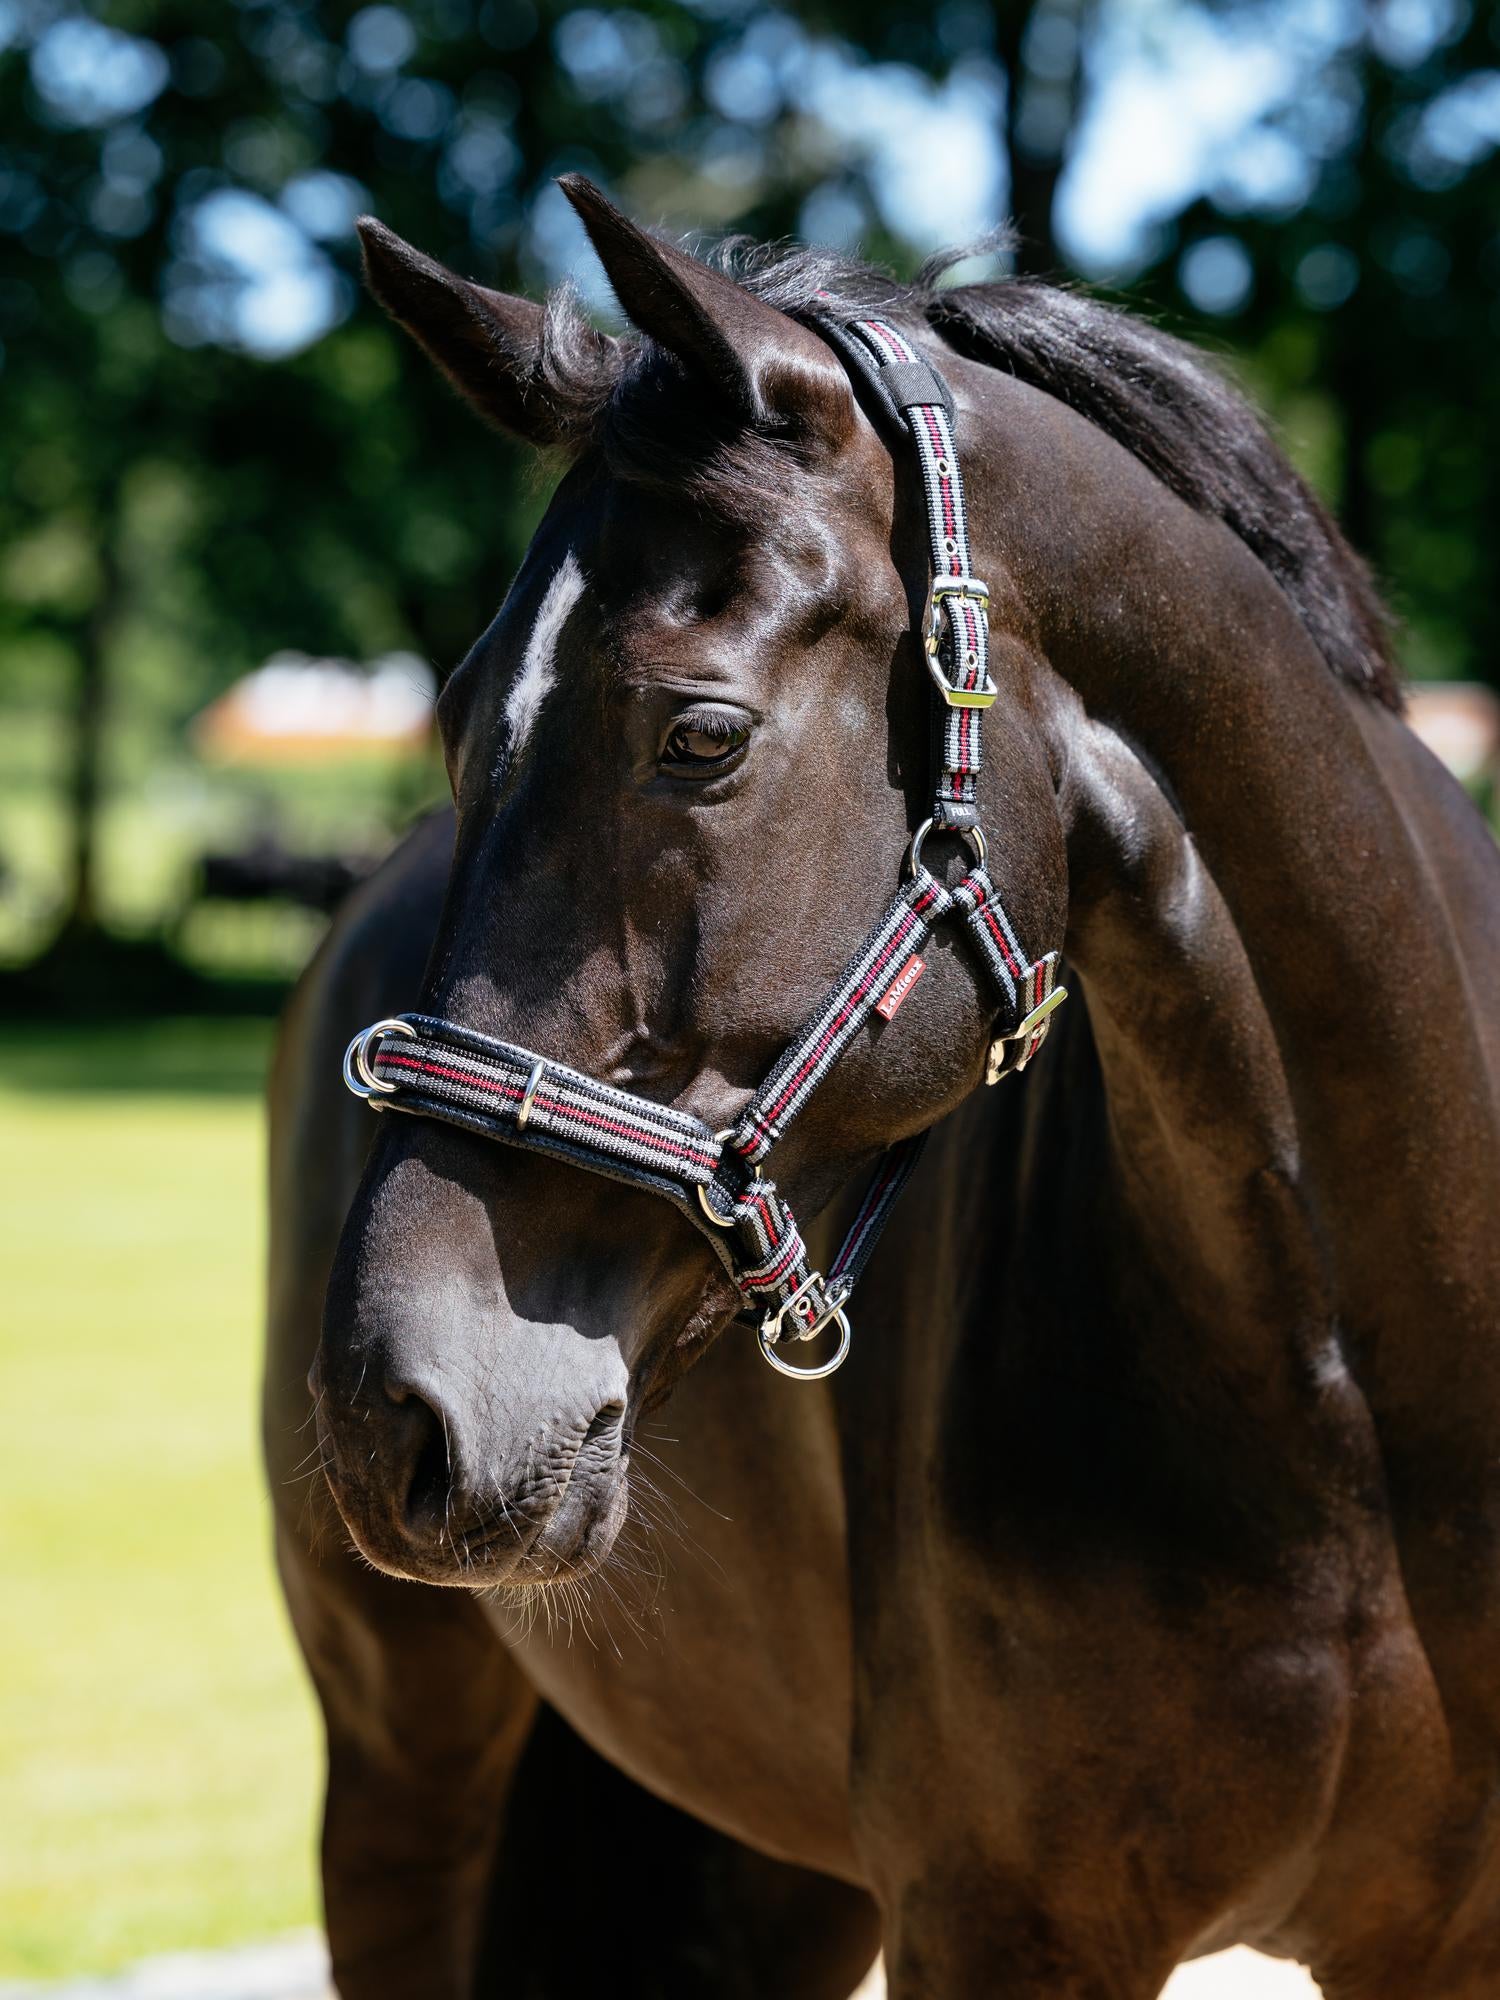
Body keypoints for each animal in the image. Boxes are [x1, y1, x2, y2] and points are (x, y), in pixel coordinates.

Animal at [265, 177, 1500, 1999]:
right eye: (458, 715)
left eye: (703, 735)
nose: (391, 1408)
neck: (1350, 1394)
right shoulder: (1003, 1927)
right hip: (402, 1766)